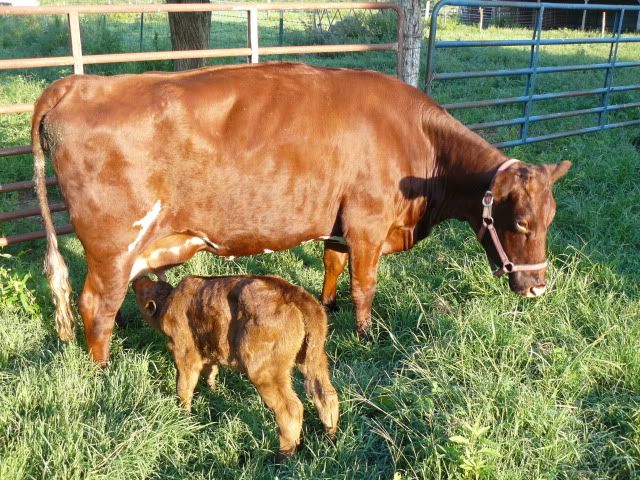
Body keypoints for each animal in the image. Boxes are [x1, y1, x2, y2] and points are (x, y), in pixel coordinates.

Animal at [32, 62, 568, 364]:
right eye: (520, 222)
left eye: (550, 220)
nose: (539, 287)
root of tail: (79, 82)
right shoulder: (368, 223)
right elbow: (364, 285)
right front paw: (365, 336)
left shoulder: (339, 224)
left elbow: (332, 264)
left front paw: (327, 307)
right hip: (113, 245)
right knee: (94, 306)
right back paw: (103, 370)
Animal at [131, 272, 340, 460]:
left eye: (142, 293)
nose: (137, 279)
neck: (169, 301)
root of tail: (294, 294)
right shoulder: (210, 350)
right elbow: (211, 371)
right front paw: (213, 391)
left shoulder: (185, 354)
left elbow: (184, 387)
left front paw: (184, 415)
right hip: (314, 359)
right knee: (326, 395)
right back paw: (330, 436)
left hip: (265, 372)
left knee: (290, 409)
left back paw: (283, 455)